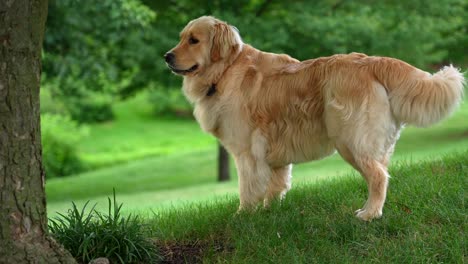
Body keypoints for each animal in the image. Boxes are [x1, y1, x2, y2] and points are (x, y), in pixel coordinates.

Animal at [165, 14, 464, 221]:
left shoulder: (247, 151)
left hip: (351, 140)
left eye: (194, 40)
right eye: (181, 37)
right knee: (382, 173)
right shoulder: (273, 151)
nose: (167, 56)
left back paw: (370, 214)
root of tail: (372, 61)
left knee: (379, 177)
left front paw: (243, 216)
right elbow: (276, 185)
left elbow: (248, 188)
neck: (225, 70)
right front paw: (269, 212)